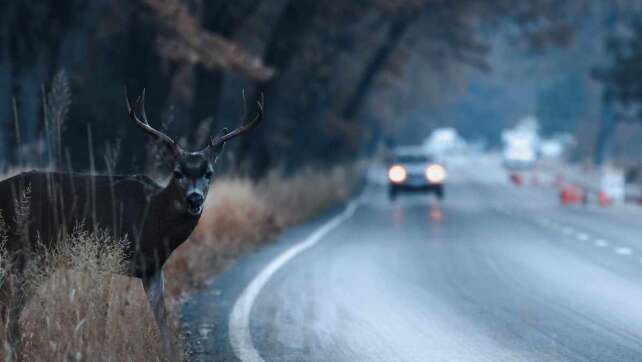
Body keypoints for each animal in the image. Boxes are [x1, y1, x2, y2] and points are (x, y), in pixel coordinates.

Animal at [0, 90, 262, 356]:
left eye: (209, 173)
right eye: (177, 172)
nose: (194, 198)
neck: (152, 220)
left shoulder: (152, 269)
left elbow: (161, 316)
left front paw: (167, 352)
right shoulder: (105, 253)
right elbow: (102, 314)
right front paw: (99, 347)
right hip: (25, 251)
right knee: (10, 304)